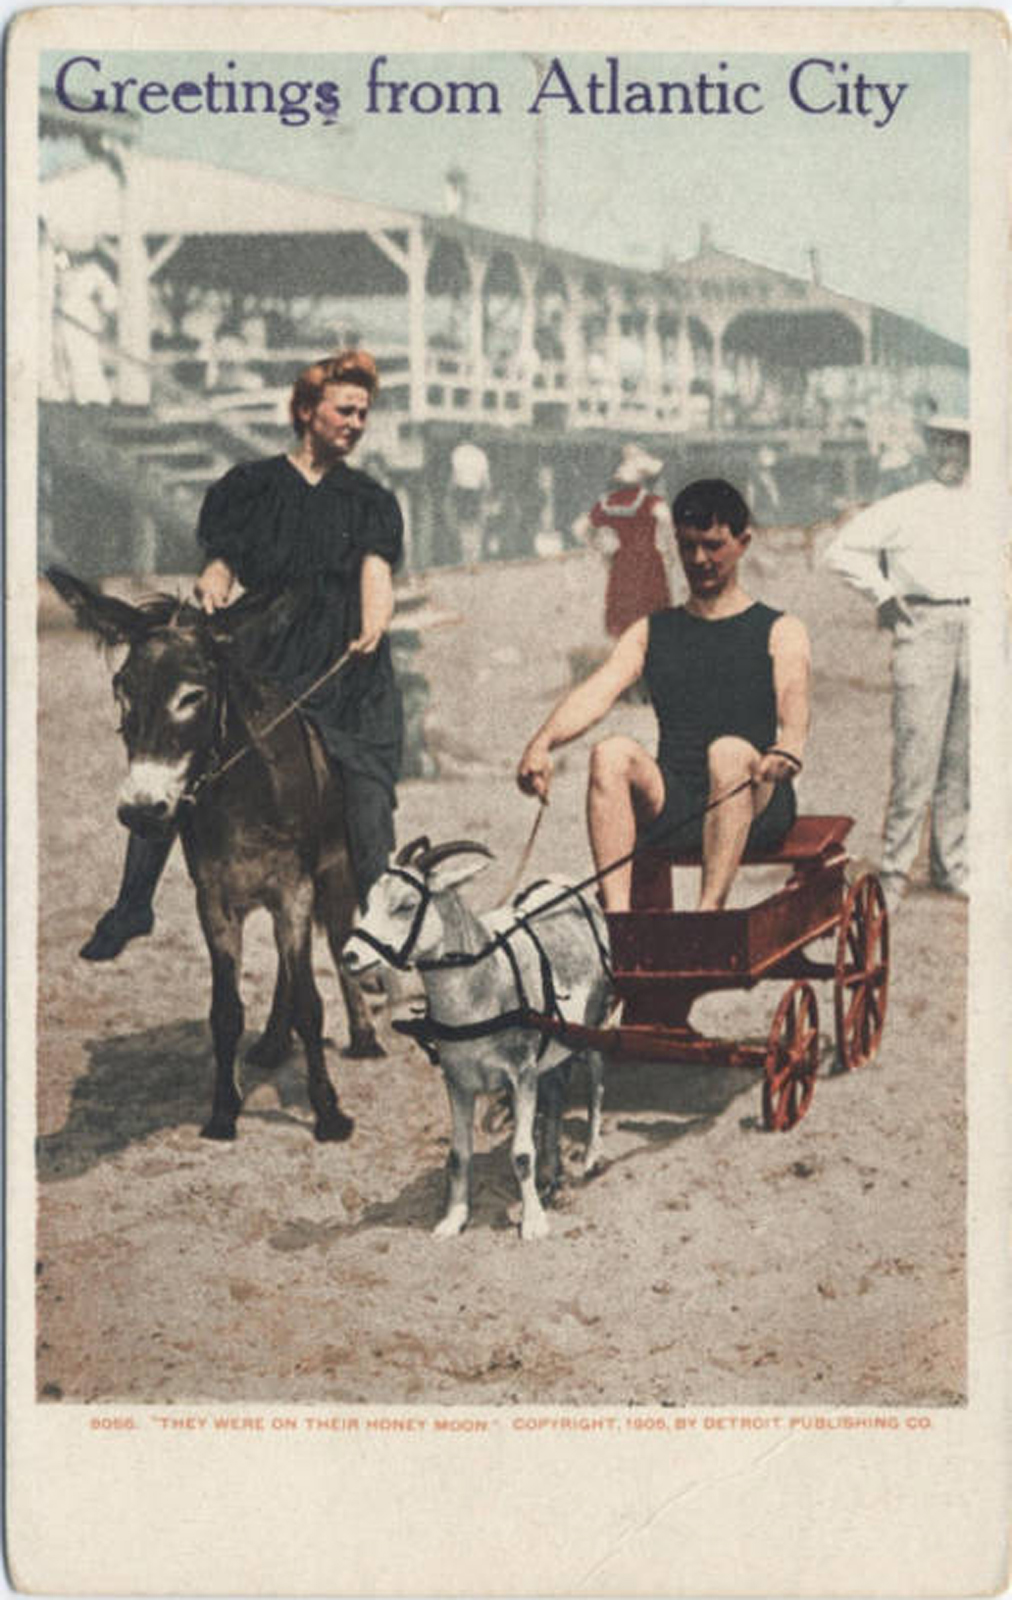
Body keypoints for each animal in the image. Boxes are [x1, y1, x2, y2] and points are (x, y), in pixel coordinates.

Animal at [342, 838, 608, 1235]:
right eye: (370, 900)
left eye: (406, 905)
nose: (350, 956)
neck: (487, 983)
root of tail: (568, 885)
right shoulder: (458, 1081)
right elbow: (458, 1153)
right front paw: (452, 1220)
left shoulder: (521, 1073)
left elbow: (521, 1153)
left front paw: (532, 1223)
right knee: (556, 1094)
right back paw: (552, 1173)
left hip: (593, 1027)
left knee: (596, 1083)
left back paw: (590, 1156)